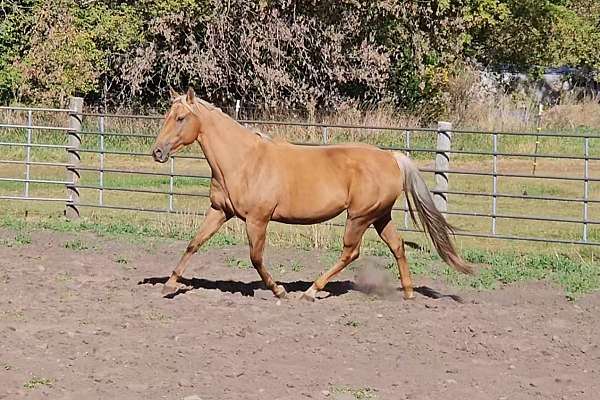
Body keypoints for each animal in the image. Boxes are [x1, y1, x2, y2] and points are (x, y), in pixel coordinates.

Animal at [150, 87, 474, 300]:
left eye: (180, 118)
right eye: (167, 115)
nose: (157, 152)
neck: (243, 161)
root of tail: (392, 157)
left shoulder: (257, 219)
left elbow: (256, 257)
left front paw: (279, 290)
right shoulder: (220, 211)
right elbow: (194, 243)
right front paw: (170, 284)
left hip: (359, 216)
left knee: (351, 252)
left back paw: (311, 291)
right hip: (380, 215)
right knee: (397, 246)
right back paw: (407, 293)